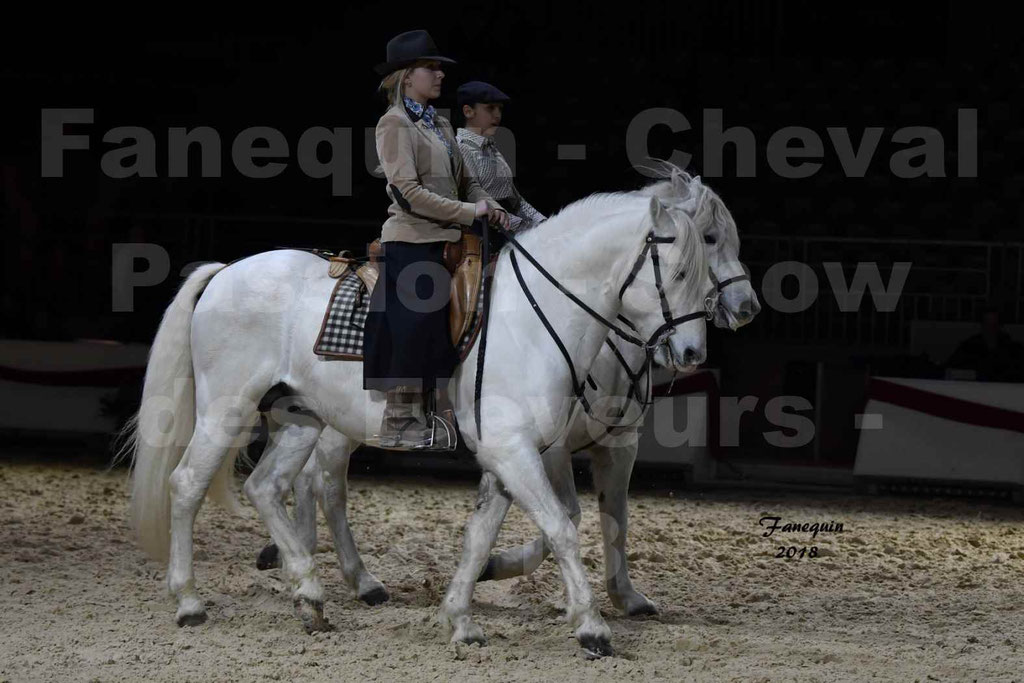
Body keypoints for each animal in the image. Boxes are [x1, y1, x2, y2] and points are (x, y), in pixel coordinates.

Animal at [120, 188, 713, 658]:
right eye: (679, 272)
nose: (691, 353)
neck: (535, 317)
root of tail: (225, 272)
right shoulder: (517, 451)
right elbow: (562, 529)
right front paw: (591, 629)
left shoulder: (508, 457)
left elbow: (480, 537)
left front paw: (460, 619)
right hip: (225, 409)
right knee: (188, 484)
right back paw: (190, 601)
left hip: (300, 419)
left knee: (267, 487)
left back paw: (310, 596)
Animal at [253, 169, 759, 620]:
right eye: (709, 239)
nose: (747, 308)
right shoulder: (546, 448)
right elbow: (568, 514)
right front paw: (499, 571)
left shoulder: (618, 445)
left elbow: (614, 516)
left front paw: (626, 598)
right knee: (327, 485)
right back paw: (355, 578)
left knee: (308, 480)